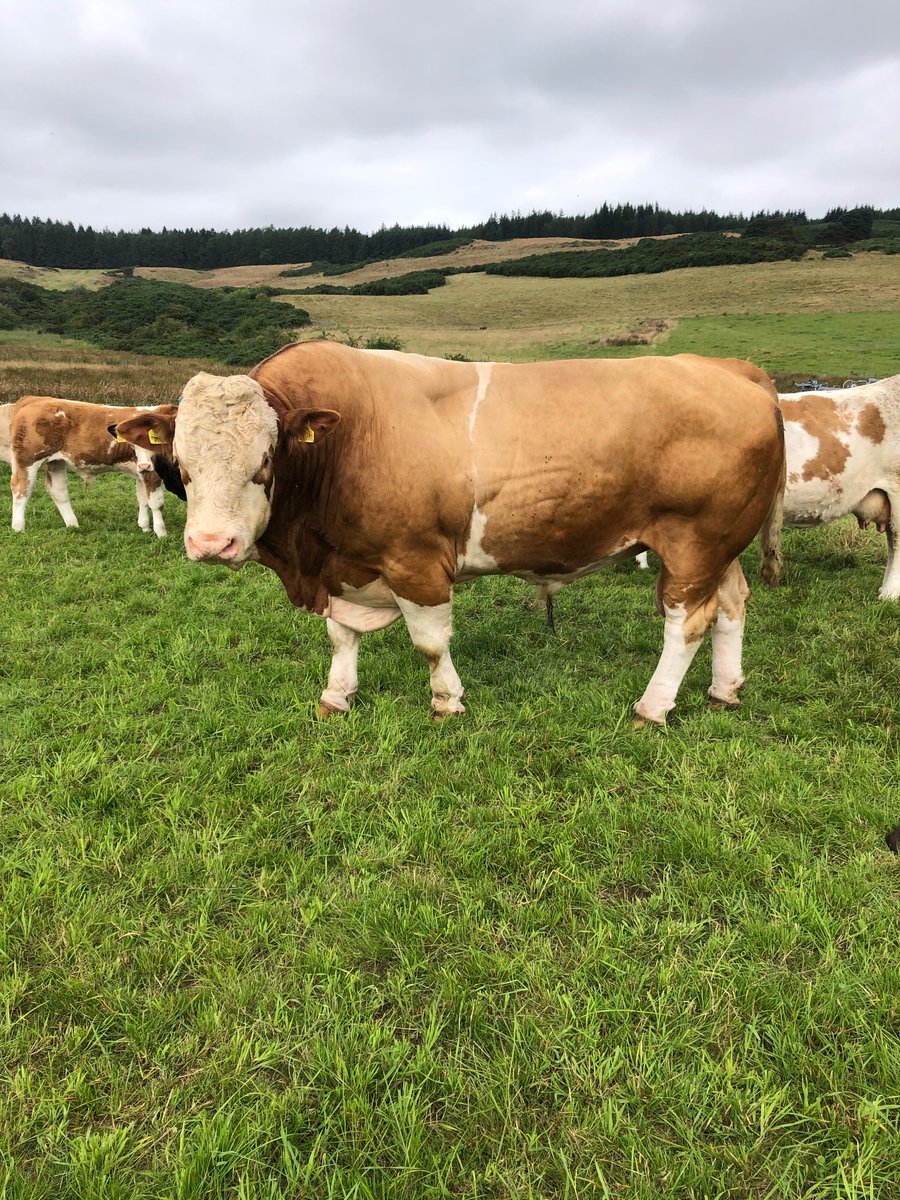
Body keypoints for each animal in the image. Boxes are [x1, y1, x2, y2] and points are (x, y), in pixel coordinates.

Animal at [8, 396, 169, 537]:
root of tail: (34, 398)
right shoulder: (152, 471)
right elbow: (156, 503)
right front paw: (161, 533)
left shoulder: (142, 470)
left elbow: (143, 499)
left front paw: (145, 527)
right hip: (27, 460)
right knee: (21, 489)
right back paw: (18, 528)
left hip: (55, 462)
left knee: (58, 491)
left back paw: (73, 525)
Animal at [112, 342, 785, 726]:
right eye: (181, 462)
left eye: (266, 459)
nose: (211, 545)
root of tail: (732, 370)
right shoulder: (343, 568)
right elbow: (341, 639)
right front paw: (337, 696)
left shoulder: (414, 561)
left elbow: (430, 643)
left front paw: (446, 702)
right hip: (721, 547)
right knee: (731, 606)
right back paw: (724, 690)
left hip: (694, 543)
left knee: (687, 623)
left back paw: (654, 707)